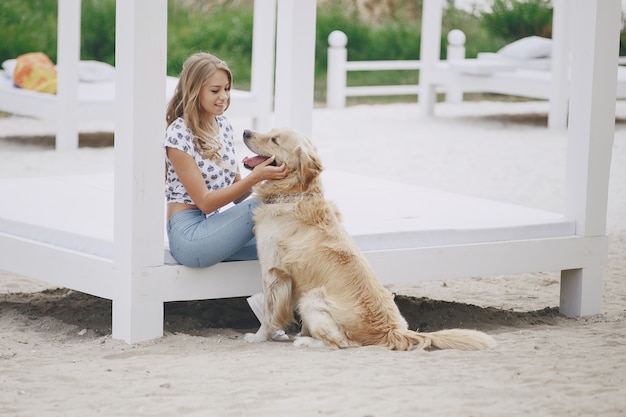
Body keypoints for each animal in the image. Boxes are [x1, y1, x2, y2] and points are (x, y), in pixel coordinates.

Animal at [241, 127, 494, 352]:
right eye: (270, 132)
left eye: (274, 139)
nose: (245, 132)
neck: (294, 194)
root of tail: (394, 331)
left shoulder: (273, 272)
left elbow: (268, 313)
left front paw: (258, 337)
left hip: (312, 299)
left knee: (340, 343)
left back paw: (306, 342)